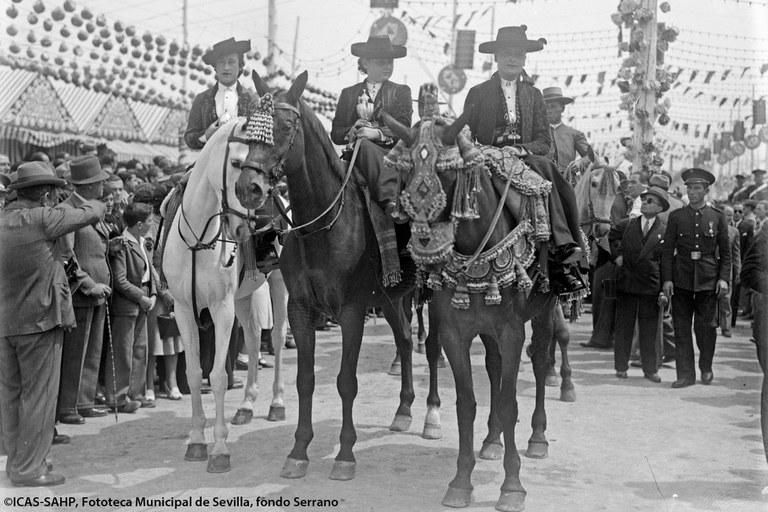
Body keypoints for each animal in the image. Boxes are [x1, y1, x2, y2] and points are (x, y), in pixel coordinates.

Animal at [164, 110, 282, 474]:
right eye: (236, 162)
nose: (246, 224)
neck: (197, 239)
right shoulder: (184, 309)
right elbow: (193, 372)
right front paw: (196, 440)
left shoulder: (221, 308)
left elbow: (216, 375)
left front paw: (218, 449)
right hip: (244, 297)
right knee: (256, 338)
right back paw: (245, 406)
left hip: (278, 285)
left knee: (279, 338)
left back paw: (276, 402)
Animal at [246, 71, 444, 480]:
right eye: (248, 124)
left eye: (285, 125)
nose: (249, 187)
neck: (321, 228)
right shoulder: (301, 310)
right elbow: (305, 380)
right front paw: (298, 451)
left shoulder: (352, 311)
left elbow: (346, 381)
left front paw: (345, 453)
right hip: (391, 298)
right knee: (404, 341)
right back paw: (404, 410)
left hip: (432, 293)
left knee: (431, 347)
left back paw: (431, 416)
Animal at [380, 105, 564, 512]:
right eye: (404, 171)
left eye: (449, 173)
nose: (425, 244)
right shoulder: (455, 332)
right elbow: (466, 403)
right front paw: (461, 482)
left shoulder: (512, 331)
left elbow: (510, 402)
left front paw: (512, 487)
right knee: (493, 368)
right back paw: (492, 440)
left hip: (544, 311)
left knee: (541, 362)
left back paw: (538, 438)